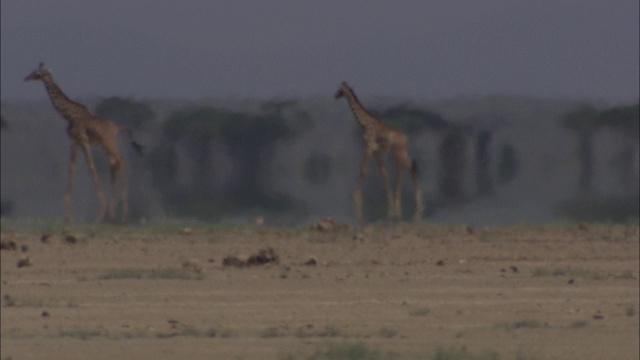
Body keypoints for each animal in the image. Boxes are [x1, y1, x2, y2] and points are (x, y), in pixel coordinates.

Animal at [24, 63, 139, 224]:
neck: (68, 114)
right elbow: (72, 169)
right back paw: (114, 214)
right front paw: (68, 216)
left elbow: (91, 167)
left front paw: (100, 213)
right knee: (114, 163)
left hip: (108, 143)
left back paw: (122, 215)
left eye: (38, 72)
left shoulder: (83, 140)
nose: (26, 78)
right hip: (107, 145)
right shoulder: (74, 142)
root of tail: (117, 128)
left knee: (121, 160)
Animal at [336, 81, 424, 225]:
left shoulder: (369, 147)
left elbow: (363, 170)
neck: (365, 123)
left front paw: (356, 196)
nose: (335, 96)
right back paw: (411, 200)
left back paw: (409, 199)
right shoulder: (376, 151)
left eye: (340, 90)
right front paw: (389, 198)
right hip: (401, 152)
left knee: (405, 169)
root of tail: (406, 139)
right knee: (410, 167)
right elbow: (383, 172)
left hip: (399, 152)